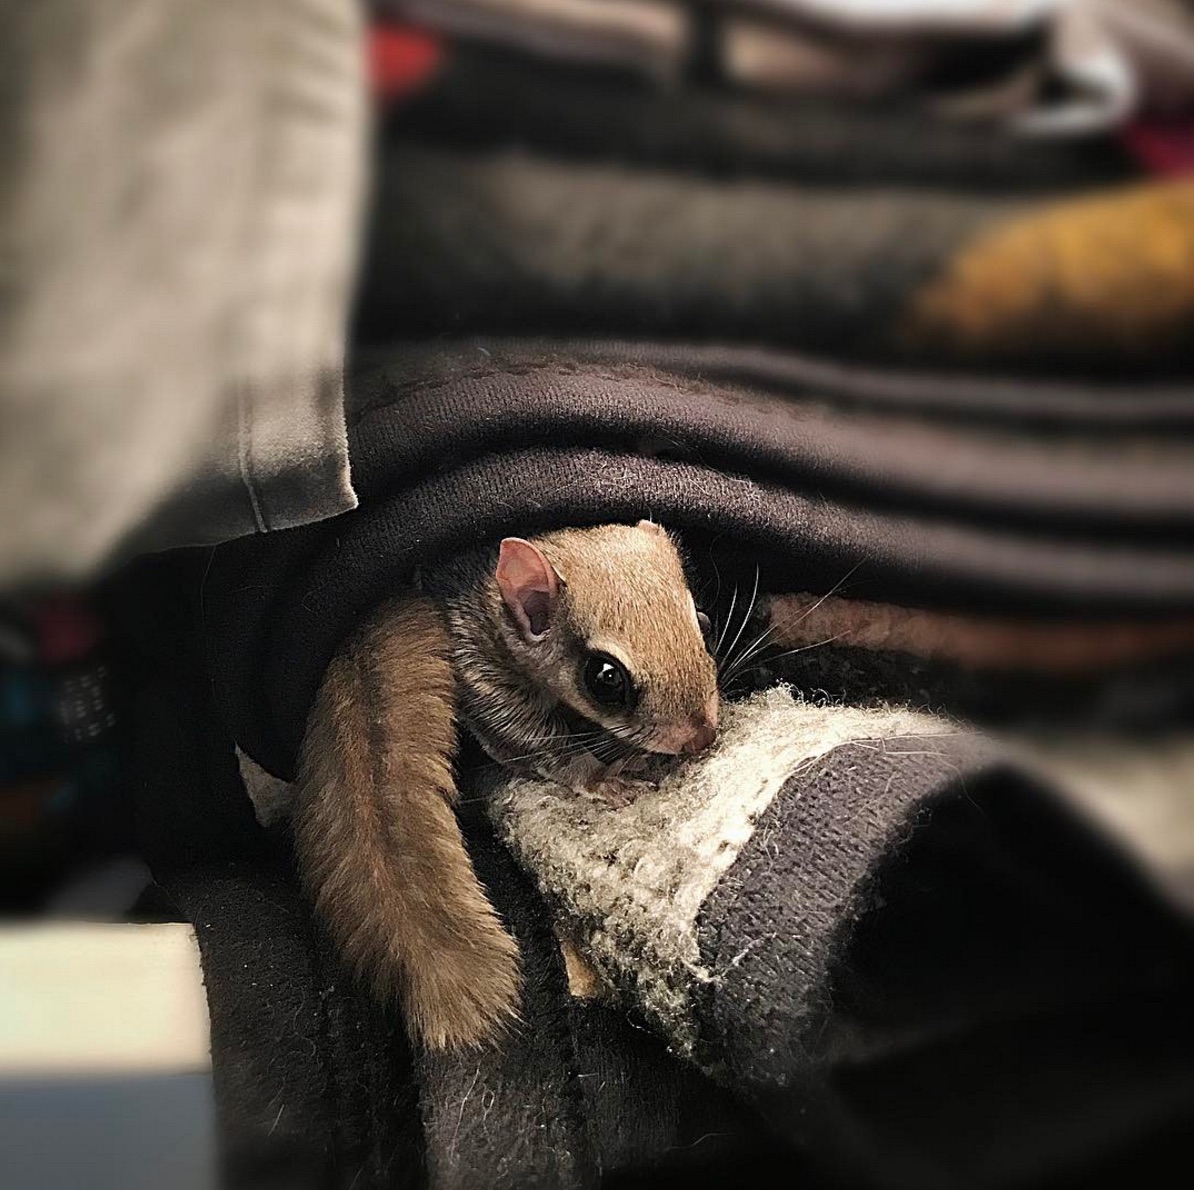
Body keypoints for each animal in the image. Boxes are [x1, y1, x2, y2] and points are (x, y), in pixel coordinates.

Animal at [293, 521, 720, 1050]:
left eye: (702, 621)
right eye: (606, 679)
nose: (703, 736)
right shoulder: (484, 683)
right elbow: (541, 748)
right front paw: (606, 777)